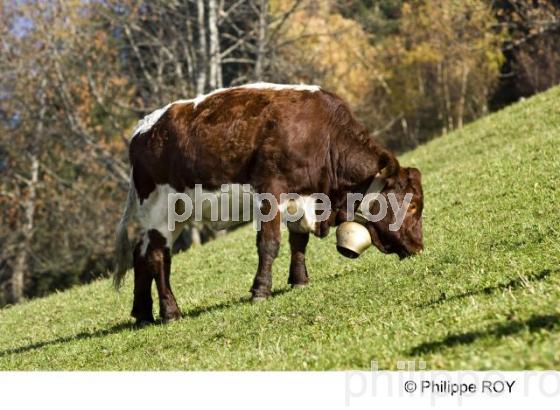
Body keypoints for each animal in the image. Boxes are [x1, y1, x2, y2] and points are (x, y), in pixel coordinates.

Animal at [111, 83, 422, 326]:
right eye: (413, 206)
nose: (419, 247)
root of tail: (143, 128)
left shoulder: (303, 198)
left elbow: (299, 241)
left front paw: (299, 280)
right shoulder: (271, 192)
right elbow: (269, 244)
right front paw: (261, 291)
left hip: (171, 216)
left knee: (142, 254)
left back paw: (142, 314)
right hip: (159, 212)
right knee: (158, 257)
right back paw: (170, 312)